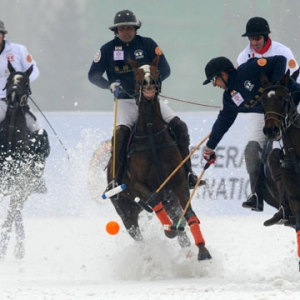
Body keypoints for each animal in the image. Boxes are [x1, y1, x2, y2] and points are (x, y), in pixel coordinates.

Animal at [105, 55, 211, 260]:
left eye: (156, 71)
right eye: (137, 73)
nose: (148, 83)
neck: (152, 135)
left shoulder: (178, 182)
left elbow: (189, 214)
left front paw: (203, 250)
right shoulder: (137, 185)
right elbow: (154, 202)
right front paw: (168, 230)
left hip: (171, 202)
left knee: (181, 229)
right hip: (125, 212)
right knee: (138, 236)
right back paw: (148, 257)